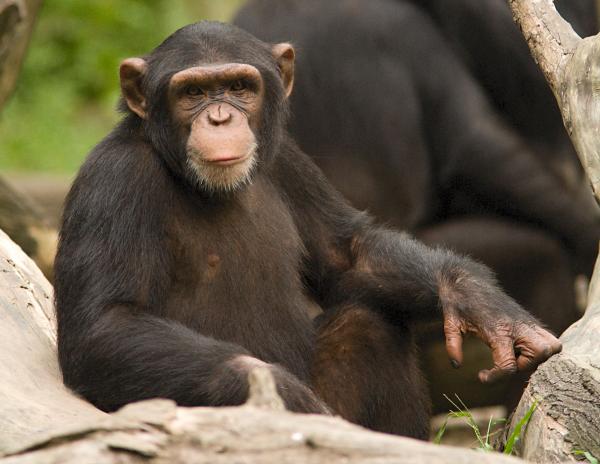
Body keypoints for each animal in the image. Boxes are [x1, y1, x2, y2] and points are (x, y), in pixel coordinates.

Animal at [54, 21, 560, 440]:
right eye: (193, 93)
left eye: (239, 87)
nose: (219, 117)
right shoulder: (113, 183)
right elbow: (106, 325)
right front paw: (281, 393)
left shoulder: (288, 159)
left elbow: (347, 252)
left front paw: (477, 299)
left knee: (367, 325)